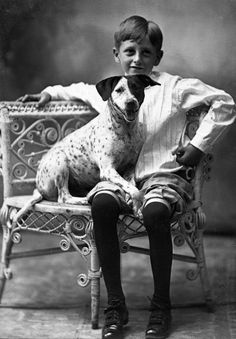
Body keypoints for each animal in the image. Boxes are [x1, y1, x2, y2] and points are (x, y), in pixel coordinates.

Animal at [12, 74, 159, 223]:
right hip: (60, 162)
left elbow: (132, 186)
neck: (125, 131)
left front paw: (136, 206)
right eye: (119, 90)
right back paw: (83, 200)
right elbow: (135, 191)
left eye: (136, 87)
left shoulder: (130, 167)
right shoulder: (107, 170)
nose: (131, 102)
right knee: (63, 197)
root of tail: (39, 188)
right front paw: (138, 203)